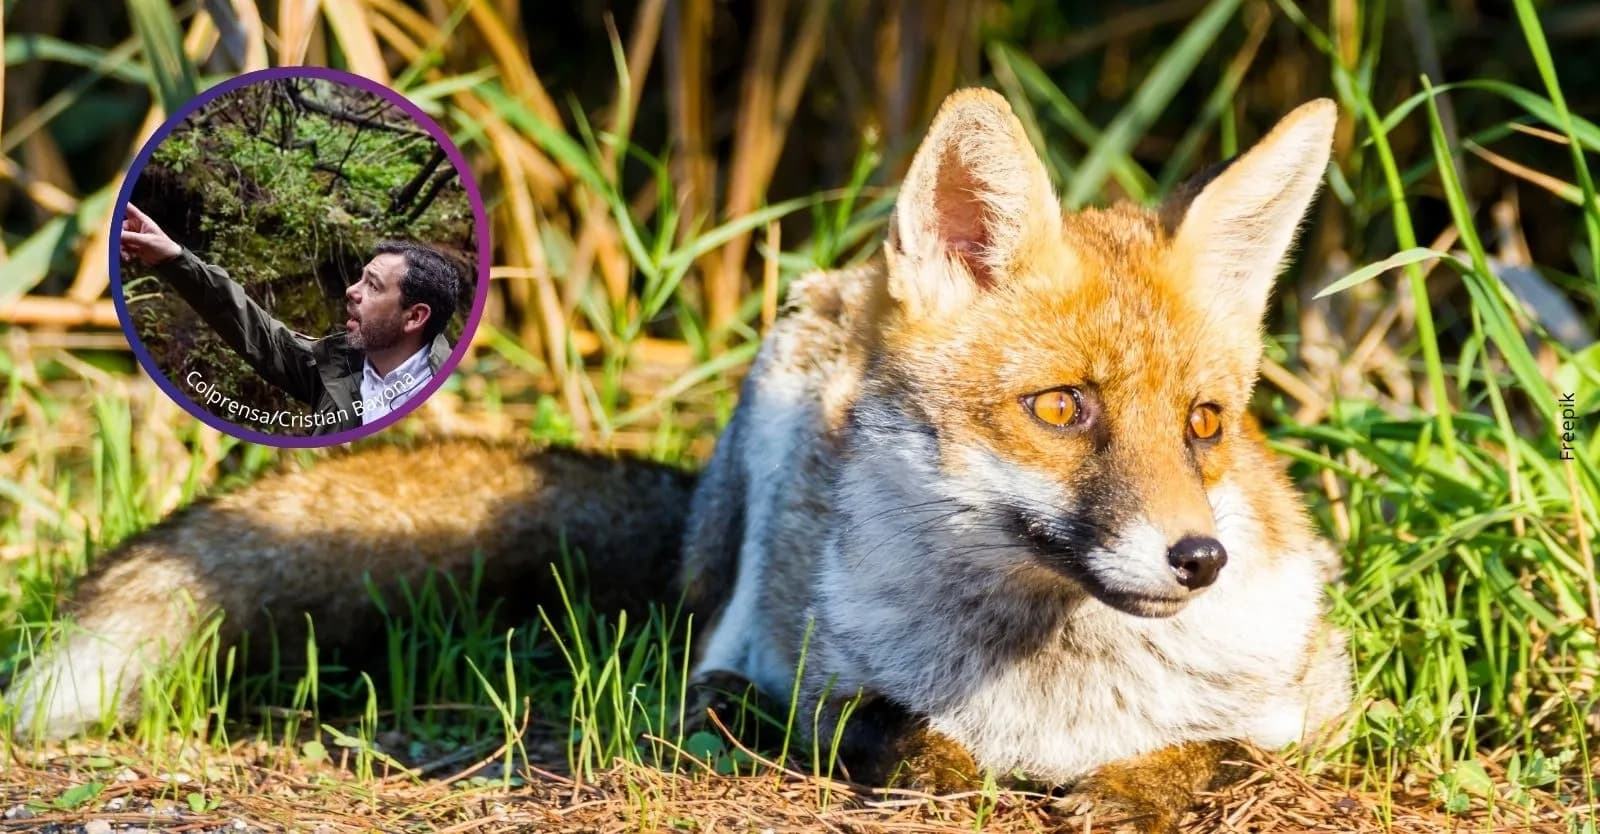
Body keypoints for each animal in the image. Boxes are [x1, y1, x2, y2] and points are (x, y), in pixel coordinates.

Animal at [6, 89, 1350, 833]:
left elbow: (1219, 750)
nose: (1199, 559)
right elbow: (887, 729)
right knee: (704, 669)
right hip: (770, 433)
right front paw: (943, 762)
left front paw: (1139, 785)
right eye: (1062, 408)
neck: (1053, 691)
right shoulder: (825, 676)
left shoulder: (1320, 700)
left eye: (1207, 423)